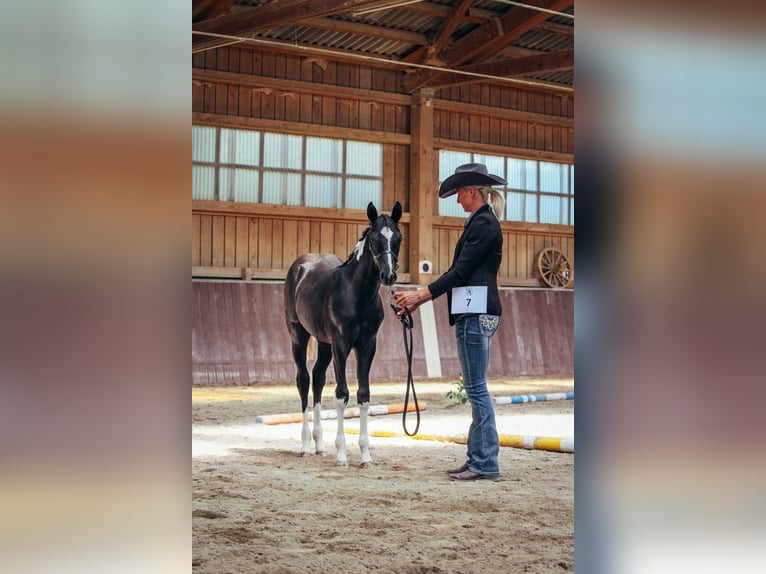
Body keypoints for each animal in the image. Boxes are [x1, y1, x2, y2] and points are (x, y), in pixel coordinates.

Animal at [283, 201, 403, 466]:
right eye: (374, 240)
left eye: (398, 237)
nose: (389, 276)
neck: (358, 294)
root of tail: (299, 266)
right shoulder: (341, 345)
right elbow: (341, 394)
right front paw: (341, 455)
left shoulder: (367, 345)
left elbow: (363, 394)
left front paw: (365, 454)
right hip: (298, 336)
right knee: (303, 380)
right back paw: (306, 445)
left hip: (323, 343)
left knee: (317, 378)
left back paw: (319, 445)